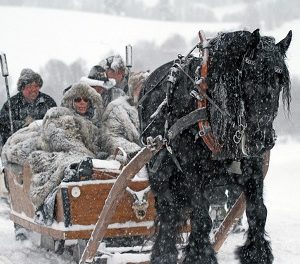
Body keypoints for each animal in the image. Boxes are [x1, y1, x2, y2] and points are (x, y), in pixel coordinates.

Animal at [139, 29, 292, 264]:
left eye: (279, 79)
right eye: (251, 78)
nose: (263, 139)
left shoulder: (253, 170)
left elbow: (258, 212)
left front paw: (257, 253)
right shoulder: (190, 173)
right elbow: (201, 217)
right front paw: (200, 255)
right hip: (159, 171)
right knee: (168, 212)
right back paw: (164, 253)